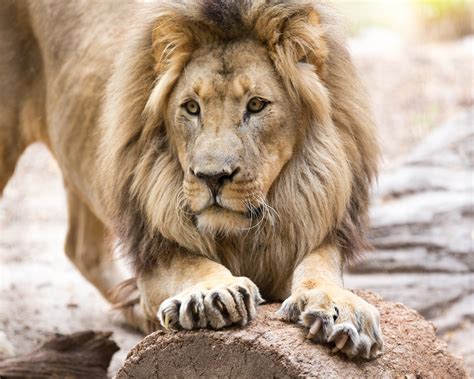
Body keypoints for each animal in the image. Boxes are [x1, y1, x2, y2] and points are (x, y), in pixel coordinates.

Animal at [0, 0, 384, 360]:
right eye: (192, 107)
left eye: (256, 105)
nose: (212, 178)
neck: (244, 234)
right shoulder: (155, 247)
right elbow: (191, 264)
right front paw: (211, 293)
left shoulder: (315, 230)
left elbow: (320, 266)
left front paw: (341, 307)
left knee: (82, 248)